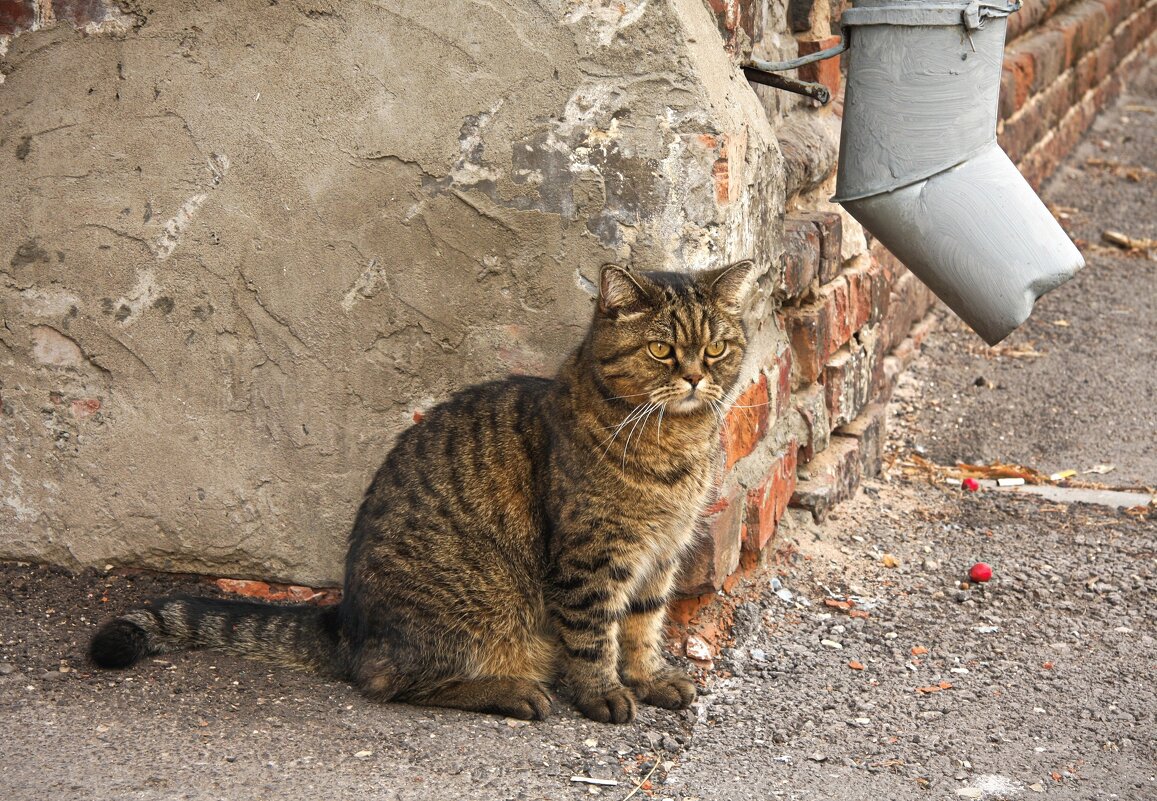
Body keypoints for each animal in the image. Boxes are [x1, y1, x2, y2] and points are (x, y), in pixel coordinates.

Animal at [90, 262, 758, 726]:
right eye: (661, 349)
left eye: (716, 348)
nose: (694, 377)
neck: (675, 445)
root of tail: (345, 624)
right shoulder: (590, 559)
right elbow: (595, 637)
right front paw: (604, 695)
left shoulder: (661, 556)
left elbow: (644, 625)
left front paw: (649, 677)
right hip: (472, 613)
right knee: (390, 683)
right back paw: (514, 692)